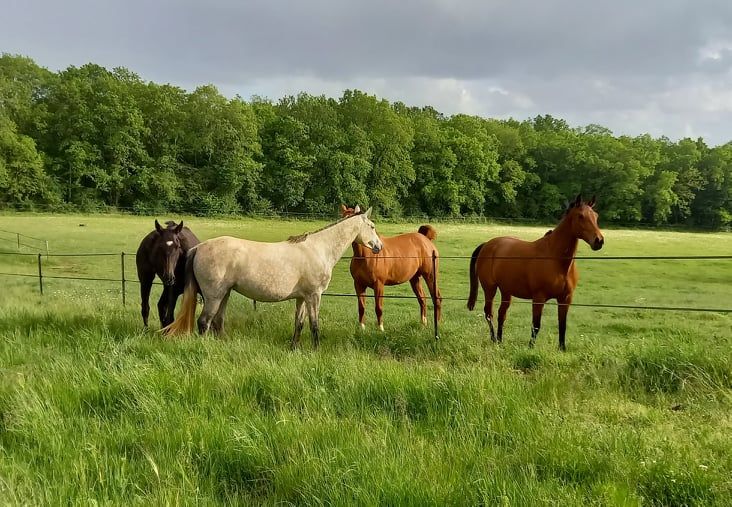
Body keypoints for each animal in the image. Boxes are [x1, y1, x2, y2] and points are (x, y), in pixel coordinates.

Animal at [162, 208, 384, 348]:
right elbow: (314, 324)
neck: (318, 248)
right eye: (372, 226)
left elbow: (299, 323)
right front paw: (316, 350)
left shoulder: (302, 297)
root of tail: (198, 248)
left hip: (224, 294)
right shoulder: (314, 296)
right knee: (204, 322)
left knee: (217, 321)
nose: (379, 246)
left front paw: (294, 348)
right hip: (213, 296)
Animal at [342, 204, 444, 332]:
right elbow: (361, 307)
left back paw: (438, 324)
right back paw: (423, 324)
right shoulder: (358, 284)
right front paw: (362, 328)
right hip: (414, 278)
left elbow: (378, 307)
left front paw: (380, 329)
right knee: (422, 299)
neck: (366, 254)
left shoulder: (379, 284)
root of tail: (425, 239)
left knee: (437, 298)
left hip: (430, 276)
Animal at [468, 196, 608, 352]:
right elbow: (536, 325)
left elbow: (562, 325)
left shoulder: (565, 299)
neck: (555, 259)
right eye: (581, 216)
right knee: (489, 313)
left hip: (506, 291)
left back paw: (500, 341)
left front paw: (562, 348)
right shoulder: (539, 298)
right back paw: (493, 340)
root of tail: (487, 244)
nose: (599, 241)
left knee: (501, 314)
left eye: (596, 216)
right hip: (490, 288)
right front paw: (531, 347)